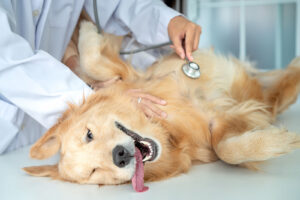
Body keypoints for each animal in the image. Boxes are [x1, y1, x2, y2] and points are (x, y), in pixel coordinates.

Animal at [24, 20, 300, 192]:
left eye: (89, 134)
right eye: (93, 172)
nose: (119, 155)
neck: (166, 128)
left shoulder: (127, 76)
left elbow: (92, 62)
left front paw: (86, 27)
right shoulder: (219, 129)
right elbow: (226, 150)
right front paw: (278, 142)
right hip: (270, 97)